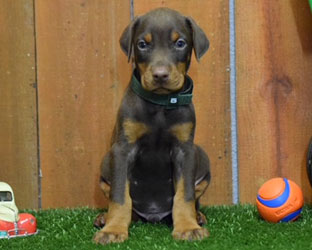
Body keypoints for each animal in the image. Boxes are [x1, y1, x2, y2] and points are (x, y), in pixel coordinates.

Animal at [92, 7, 210, 244]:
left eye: (180, 43)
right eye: (142, 44)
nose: (160, 75)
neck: (160, 106)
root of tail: (153, 216)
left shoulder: (185, 150)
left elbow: (185, 195)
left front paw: (188, 227)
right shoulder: (122, 149)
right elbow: (119, 196)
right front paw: (113, 230)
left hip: (202, 155)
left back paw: (198, 216)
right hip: (105, 162)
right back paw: (104, 218)